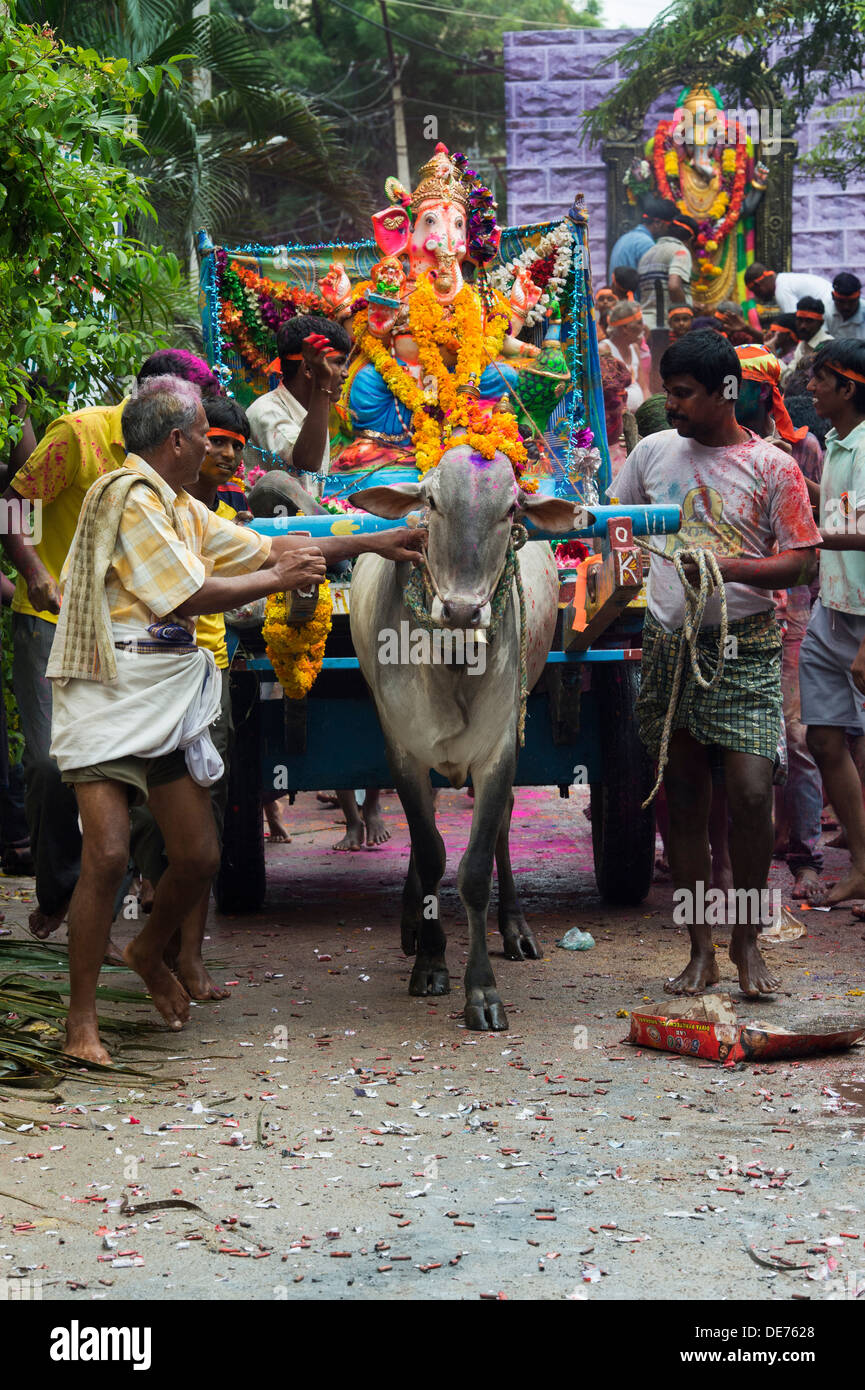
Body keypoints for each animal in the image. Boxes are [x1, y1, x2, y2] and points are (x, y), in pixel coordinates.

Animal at [350, 444, 584, 1034]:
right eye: (432, 501)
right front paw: (431, 964)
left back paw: (516, 928)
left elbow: (475, 868)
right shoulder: (404, 752)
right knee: (426, 833)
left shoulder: (498, 752)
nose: (460, 610)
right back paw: (412, 925)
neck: (453, 660)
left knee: (500, 828)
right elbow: (433, 853)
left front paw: (481, 990)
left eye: (511, 510)